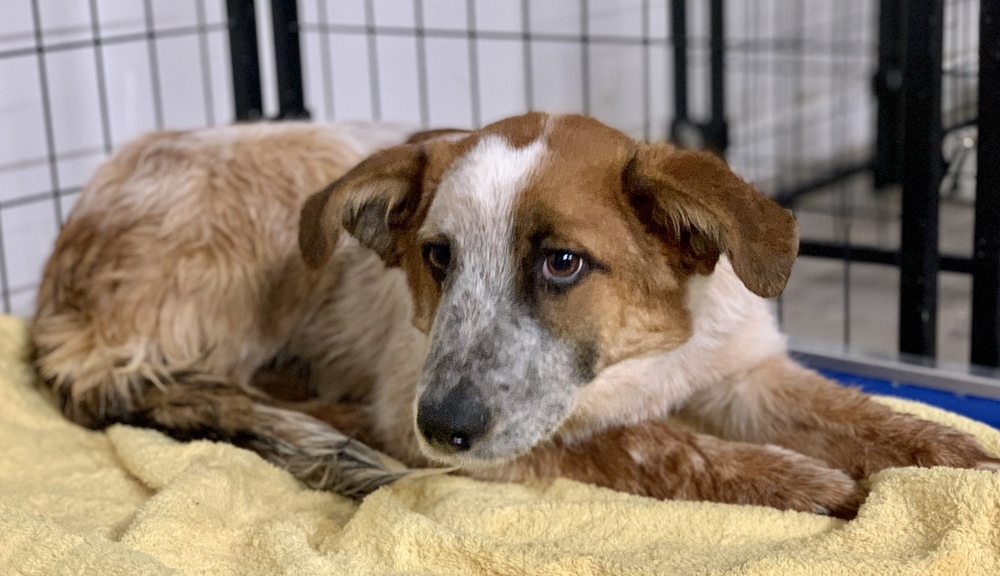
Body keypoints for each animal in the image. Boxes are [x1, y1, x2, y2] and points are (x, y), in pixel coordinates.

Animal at [33, 112, 1000, 516]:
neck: (646, 355)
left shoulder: (747, 374)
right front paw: (806, 485)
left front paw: (972, 461)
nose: (442, 430)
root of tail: (53, 296)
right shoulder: (499, 425)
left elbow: (882, 421)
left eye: (561, 262)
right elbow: (652, 445)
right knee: (194, 379)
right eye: (436, 258)